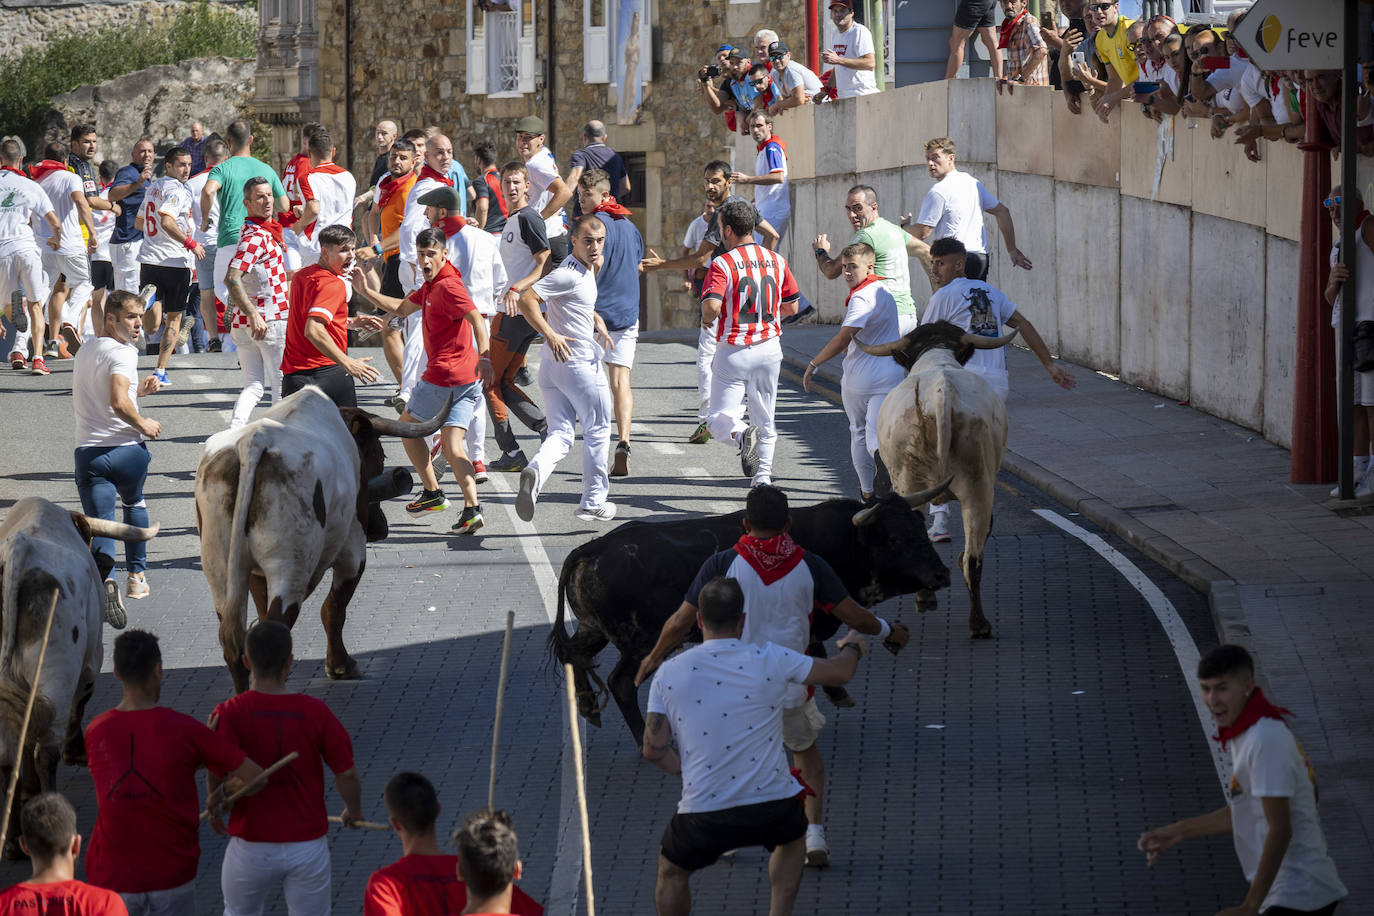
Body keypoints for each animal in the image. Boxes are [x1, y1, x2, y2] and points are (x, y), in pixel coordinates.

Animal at [0, 497, 158, 856]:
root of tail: (20, 550)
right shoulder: (91, 660)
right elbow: (79, 706)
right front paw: (76, 751)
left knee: (10, 757)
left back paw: (13, 839)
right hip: (58, 672)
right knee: (46, 752)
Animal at [193, 384, 436, 692]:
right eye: (378, 455)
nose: (379, 528)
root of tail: (254, 441)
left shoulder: (255, 575)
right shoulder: (352, 552)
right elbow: (333, 608)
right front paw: (340, 665)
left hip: (220, 568)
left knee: (236, 639)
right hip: (290, 567)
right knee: (279, 622)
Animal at [546, 494, 956, 747]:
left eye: (920, 529)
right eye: (895, 537)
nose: (941, 575)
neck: (846, 539)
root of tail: (591, 549)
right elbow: (813, 656)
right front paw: (835, 694)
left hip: (593, 629)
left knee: (575, 656)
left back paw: (587, 707)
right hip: (642, 641)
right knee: (621, 682)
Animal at [857, 318, 1022, 642]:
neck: (937, 358)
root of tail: (940, 392)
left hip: (912, 484)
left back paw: (928, 599)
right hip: (978, 486)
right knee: (974, 556)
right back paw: (979, 624)